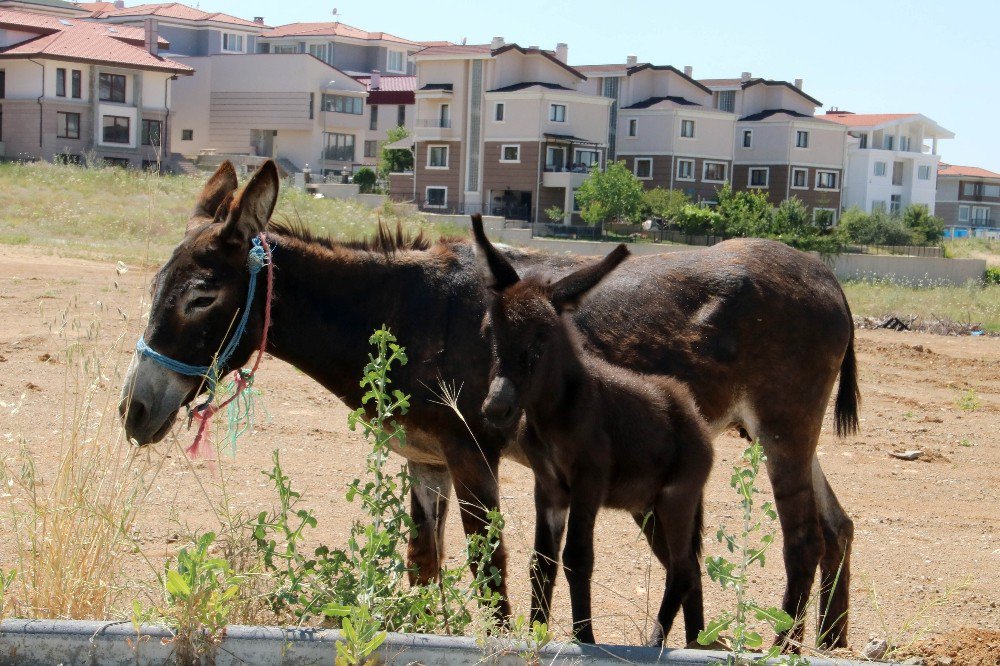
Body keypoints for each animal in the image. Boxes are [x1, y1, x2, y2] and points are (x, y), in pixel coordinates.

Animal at [472, 218, 716, 644]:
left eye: (539, 345)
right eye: (492, 336)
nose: (496, 409)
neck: (553, 416)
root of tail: (693, 415)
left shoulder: (588, 481)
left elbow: (577, 559)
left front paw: (584, 640)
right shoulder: (549, 488)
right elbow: (542, 563)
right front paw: (536, 635)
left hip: (676, 499)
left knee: (683, 569)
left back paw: (656, 642)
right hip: (647, 508)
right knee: (687, 567)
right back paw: (693, 644)